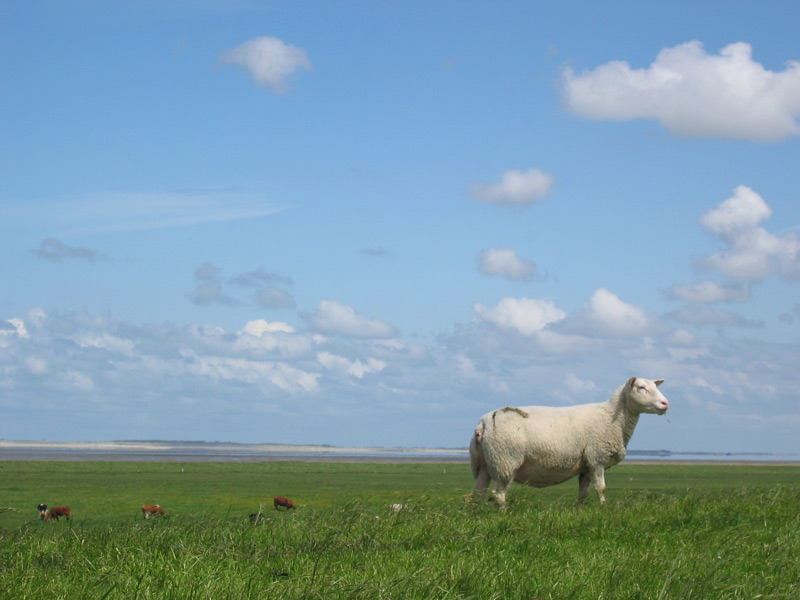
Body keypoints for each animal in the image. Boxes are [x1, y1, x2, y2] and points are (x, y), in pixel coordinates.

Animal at [469, 377, 668, 506]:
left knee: (478, 494)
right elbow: (602, 488)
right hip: (505, 461)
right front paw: (603, 509)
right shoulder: (597, 459)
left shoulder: (587, 465)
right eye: (641, 388)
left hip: (483, 464)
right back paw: (502, 514)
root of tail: (483, 423)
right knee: (498, 495)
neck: (612, 417)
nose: (665, 403)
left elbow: (583, 493)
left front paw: (580, 510)